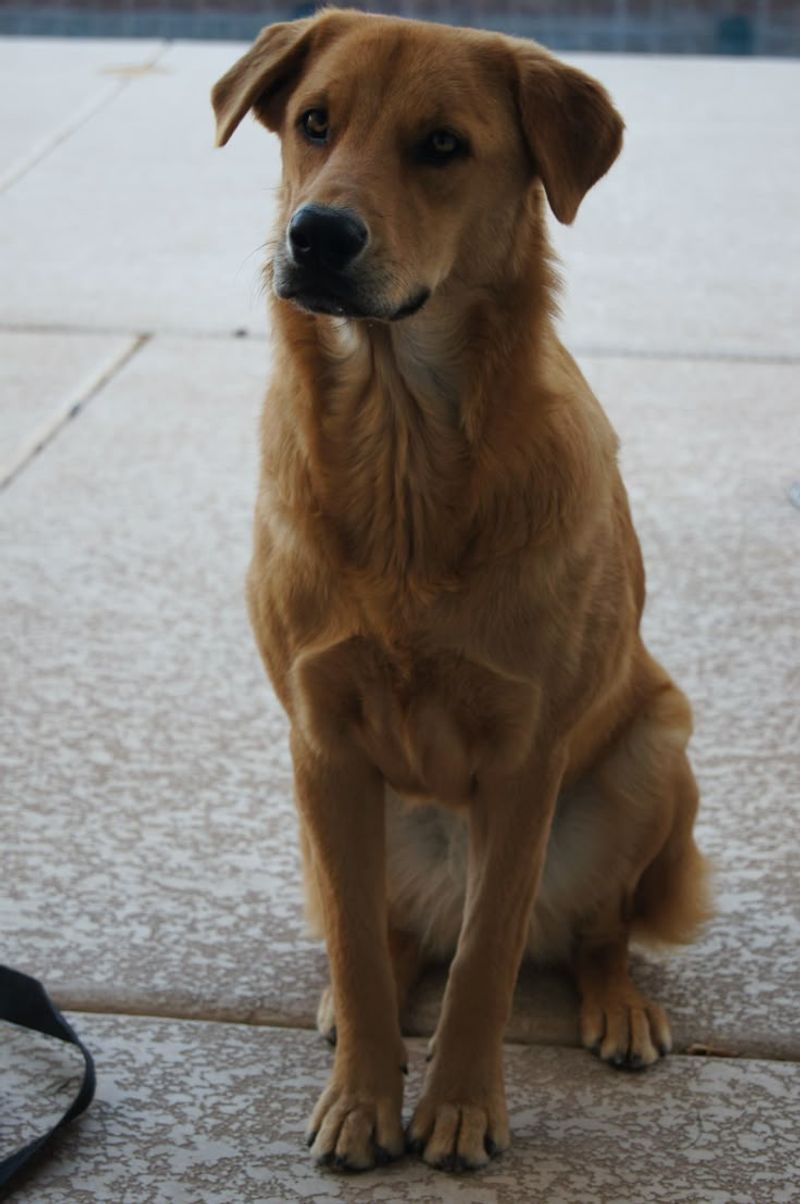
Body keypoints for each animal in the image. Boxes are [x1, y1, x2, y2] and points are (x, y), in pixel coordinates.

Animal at [210, 9, 708, 1170]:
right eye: (314, 123)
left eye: (442, 146)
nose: (318, 235)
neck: (399, 449)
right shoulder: (323, 743)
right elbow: (357, 948)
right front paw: (363, 1099)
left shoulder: (525, 762)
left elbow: (486, 959)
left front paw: (461, 1108)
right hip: (334, 818)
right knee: (392, 938)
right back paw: (368, 1003)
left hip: (650, 760)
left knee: (592, 932)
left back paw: (618, 1006)